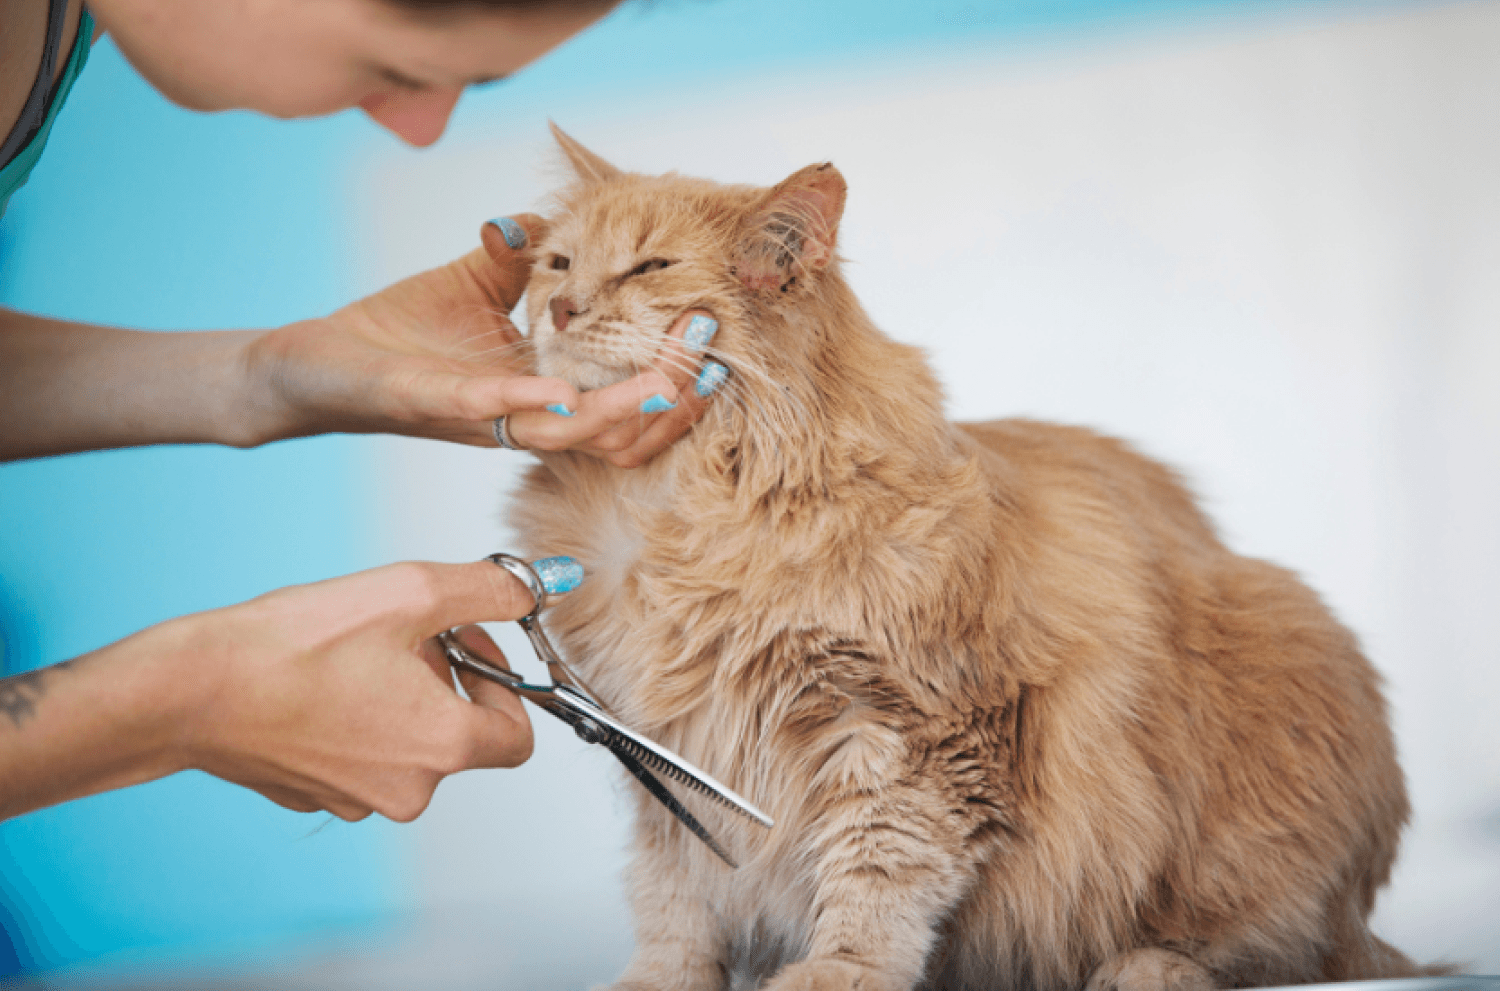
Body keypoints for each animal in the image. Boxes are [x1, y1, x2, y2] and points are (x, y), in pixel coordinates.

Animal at [507, 127, 1428, 983]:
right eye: (558, 264)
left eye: (648, 266)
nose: (563, 309)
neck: (672, 511)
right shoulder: (653, 739)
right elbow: (677, 896)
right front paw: (661, 980)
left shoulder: (912, 730)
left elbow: (877, 869)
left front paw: (841, 968)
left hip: (1278, 690)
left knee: (1267, 945)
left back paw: (1146, 967)